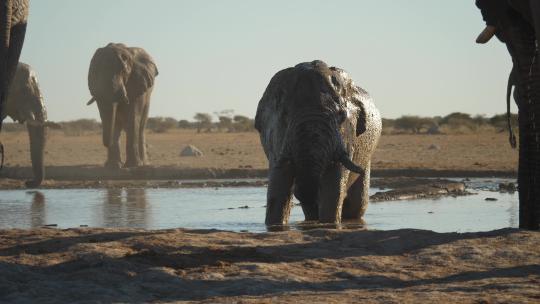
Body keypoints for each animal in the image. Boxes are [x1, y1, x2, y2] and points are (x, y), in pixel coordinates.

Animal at [255, 60, 382, 226]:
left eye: (341, 116)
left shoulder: (347, 138)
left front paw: (330, 225)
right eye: (285, 115)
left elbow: (334, 183)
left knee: (356, 204)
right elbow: (278, 184)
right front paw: (274, 226)